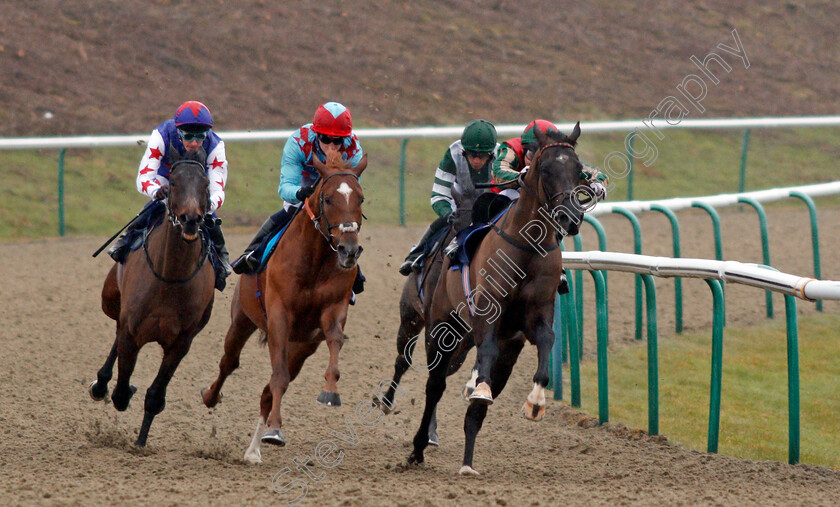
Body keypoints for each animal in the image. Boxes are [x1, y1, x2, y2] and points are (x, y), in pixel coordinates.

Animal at [89, 147, 217, 448]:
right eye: (175, 181)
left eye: (206, 183)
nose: (191, 219)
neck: (170, 276)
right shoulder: (131, 329)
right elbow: (122, 388)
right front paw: (118, 391)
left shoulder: (181, 342)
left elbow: (155, 394)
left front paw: (141, 441)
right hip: (111, 300)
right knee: (115, 339)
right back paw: (100, 384)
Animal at [202, 150, 366, 464]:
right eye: (328, 199)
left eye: (361, 198)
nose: (349, 250)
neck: (315, 260)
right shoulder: (279, 316)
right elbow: (278, 378)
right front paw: (276, 429)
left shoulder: (332, 311)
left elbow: (335, 342)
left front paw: (330, 392)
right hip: (242, 320)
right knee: (230, 362)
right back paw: (211, 396)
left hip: (300, 347)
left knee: (269, 389)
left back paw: (253, 449)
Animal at [406, 123, 584, 476]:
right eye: (546, 169)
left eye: (579, 169)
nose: (571, 218)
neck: (527, 247)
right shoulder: (487, 311)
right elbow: (483, 353)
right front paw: (480, 385)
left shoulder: (533, 319)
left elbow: (547, 342)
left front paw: (535, 402)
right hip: (440, 328)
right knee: (435, 387)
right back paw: (419, 447)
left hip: (503, 350)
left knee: (476, 410)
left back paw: (467, 463)